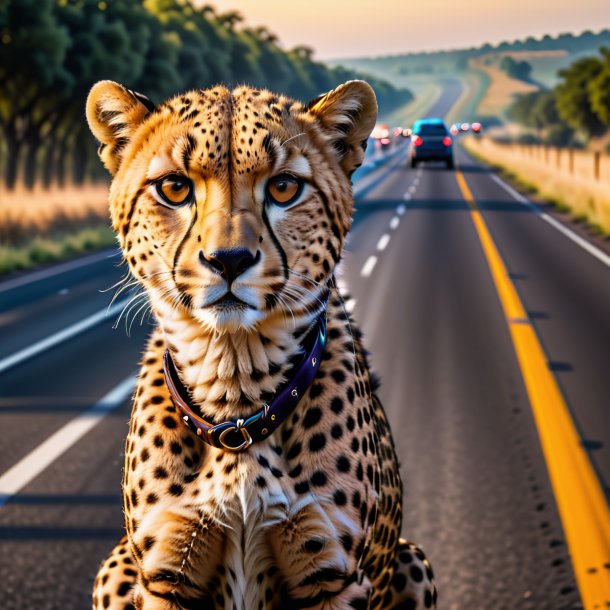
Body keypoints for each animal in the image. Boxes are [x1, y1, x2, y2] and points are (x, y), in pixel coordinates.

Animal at [86, 78, 436, 604]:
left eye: (284, 187)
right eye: (174, 188)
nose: (229, 259)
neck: (235, 388)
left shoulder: (334, 577)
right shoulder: (164, 575)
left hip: (412, 560)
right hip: (116, 565)